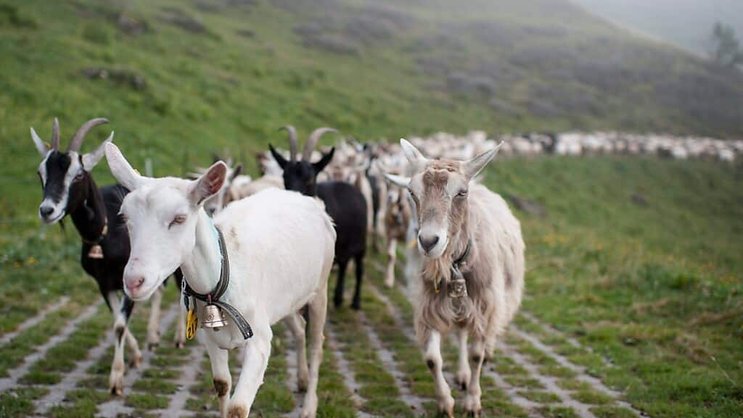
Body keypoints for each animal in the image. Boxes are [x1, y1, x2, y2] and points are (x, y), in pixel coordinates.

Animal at [30, 118, 185, 396]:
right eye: (41, 173)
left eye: (78, 175)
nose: (47, 210)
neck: (105, 231)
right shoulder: (104, 284)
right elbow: (117, 320)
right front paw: (136, 355)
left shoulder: (128, 279)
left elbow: (120, 325)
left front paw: (116, 379)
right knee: (158, 291)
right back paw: (153, 337)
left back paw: (178, 338)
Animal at [105, 143, 335, 418]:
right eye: (124, 216)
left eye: (179, 218)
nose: (133, 281)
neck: (221, 277)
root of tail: (308, 200)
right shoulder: (210, 338)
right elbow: (222, 384)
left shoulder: (258, 340)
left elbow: (238, 407)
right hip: (285, 299)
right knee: (299, 330)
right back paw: (301, 378)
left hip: (320, 288)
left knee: (316, 346)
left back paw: (309, 405)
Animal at [270, 126, 368, 309]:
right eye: (285, 177)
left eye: (309, 179)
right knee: (344, 264)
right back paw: (338, 298)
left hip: (361, 240)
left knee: (359, 268)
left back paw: (356, 302)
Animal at [385, 139, 525, 417]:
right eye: (412, 192)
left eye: (461, 192)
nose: (428, 241)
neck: (456, 267)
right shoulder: (429, 307)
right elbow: (432, 358)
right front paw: (445, 403)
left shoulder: (484, 306)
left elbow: (476, 355)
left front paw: (472, 402)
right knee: (460, 334)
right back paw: (461, 374)